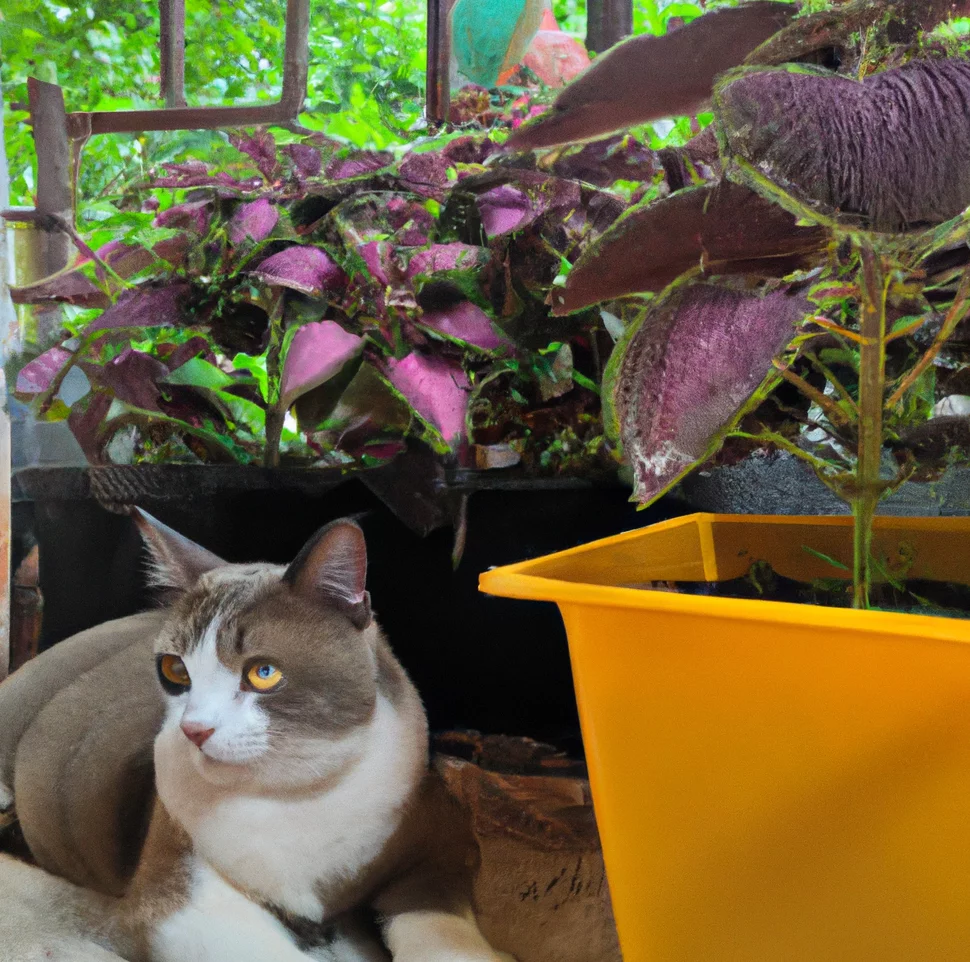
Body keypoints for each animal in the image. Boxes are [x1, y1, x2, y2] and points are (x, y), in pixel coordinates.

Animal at [0, 512, 516, 960]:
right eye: (174, 670)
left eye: (263, 673)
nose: (194, 729)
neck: (294, 790)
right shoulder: (173, 890)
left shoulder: (441, 843)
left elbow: (436, 921)